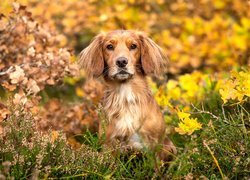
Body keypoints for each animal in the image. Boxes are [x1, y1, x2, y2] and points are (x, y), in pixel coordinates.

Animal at [78, 29, 176, 162]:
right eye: (109, 47)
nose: (121, 62)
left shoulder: (154, 145)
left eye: (133, 46)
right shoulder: (109, 144)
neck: (125, 96)